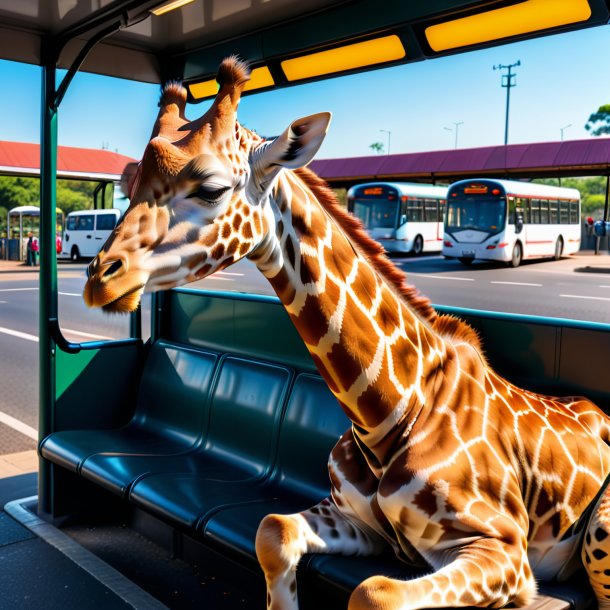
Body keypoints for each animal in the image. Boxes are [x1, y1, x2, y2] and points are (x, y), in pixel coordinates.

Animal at [85, 55, 610, 604]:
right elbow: (271, 530)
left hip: (599, 531)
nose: (100, 277)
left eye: (210, 187)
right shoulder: (357, 522)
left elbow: (372, 592)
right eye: (129, 186)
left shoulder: (503, 550)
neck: (389, 415)